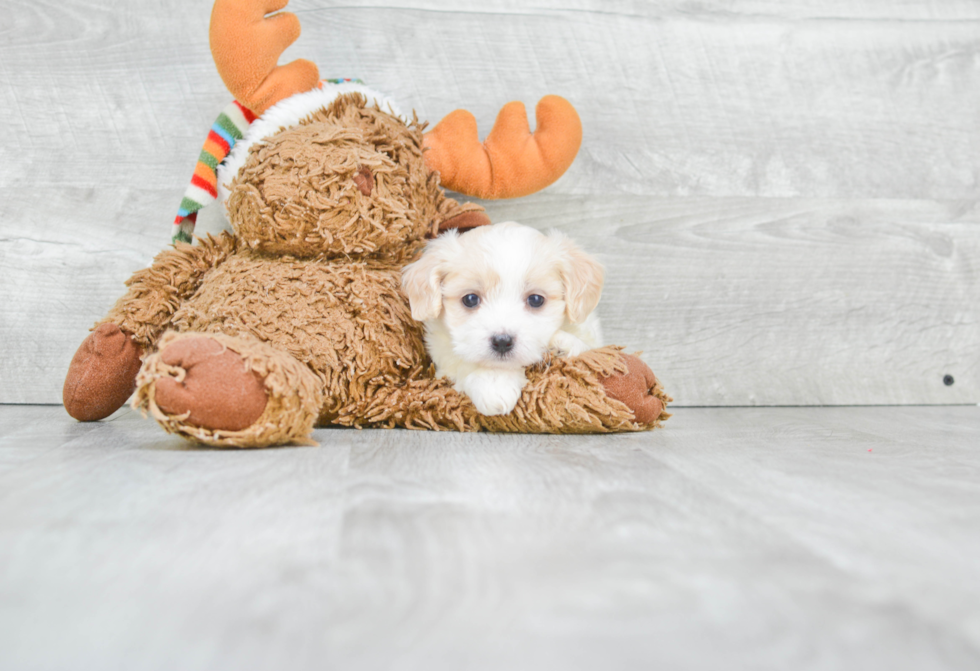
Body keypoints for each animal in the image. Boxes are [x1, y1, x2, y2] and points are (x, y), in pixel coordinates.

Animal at [400, 223, 600, 418]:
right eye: (470, 299)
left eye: (536, 300)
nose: (502, 341)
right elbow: (462, 362)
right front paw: (494, 383)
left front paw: (562, 345)